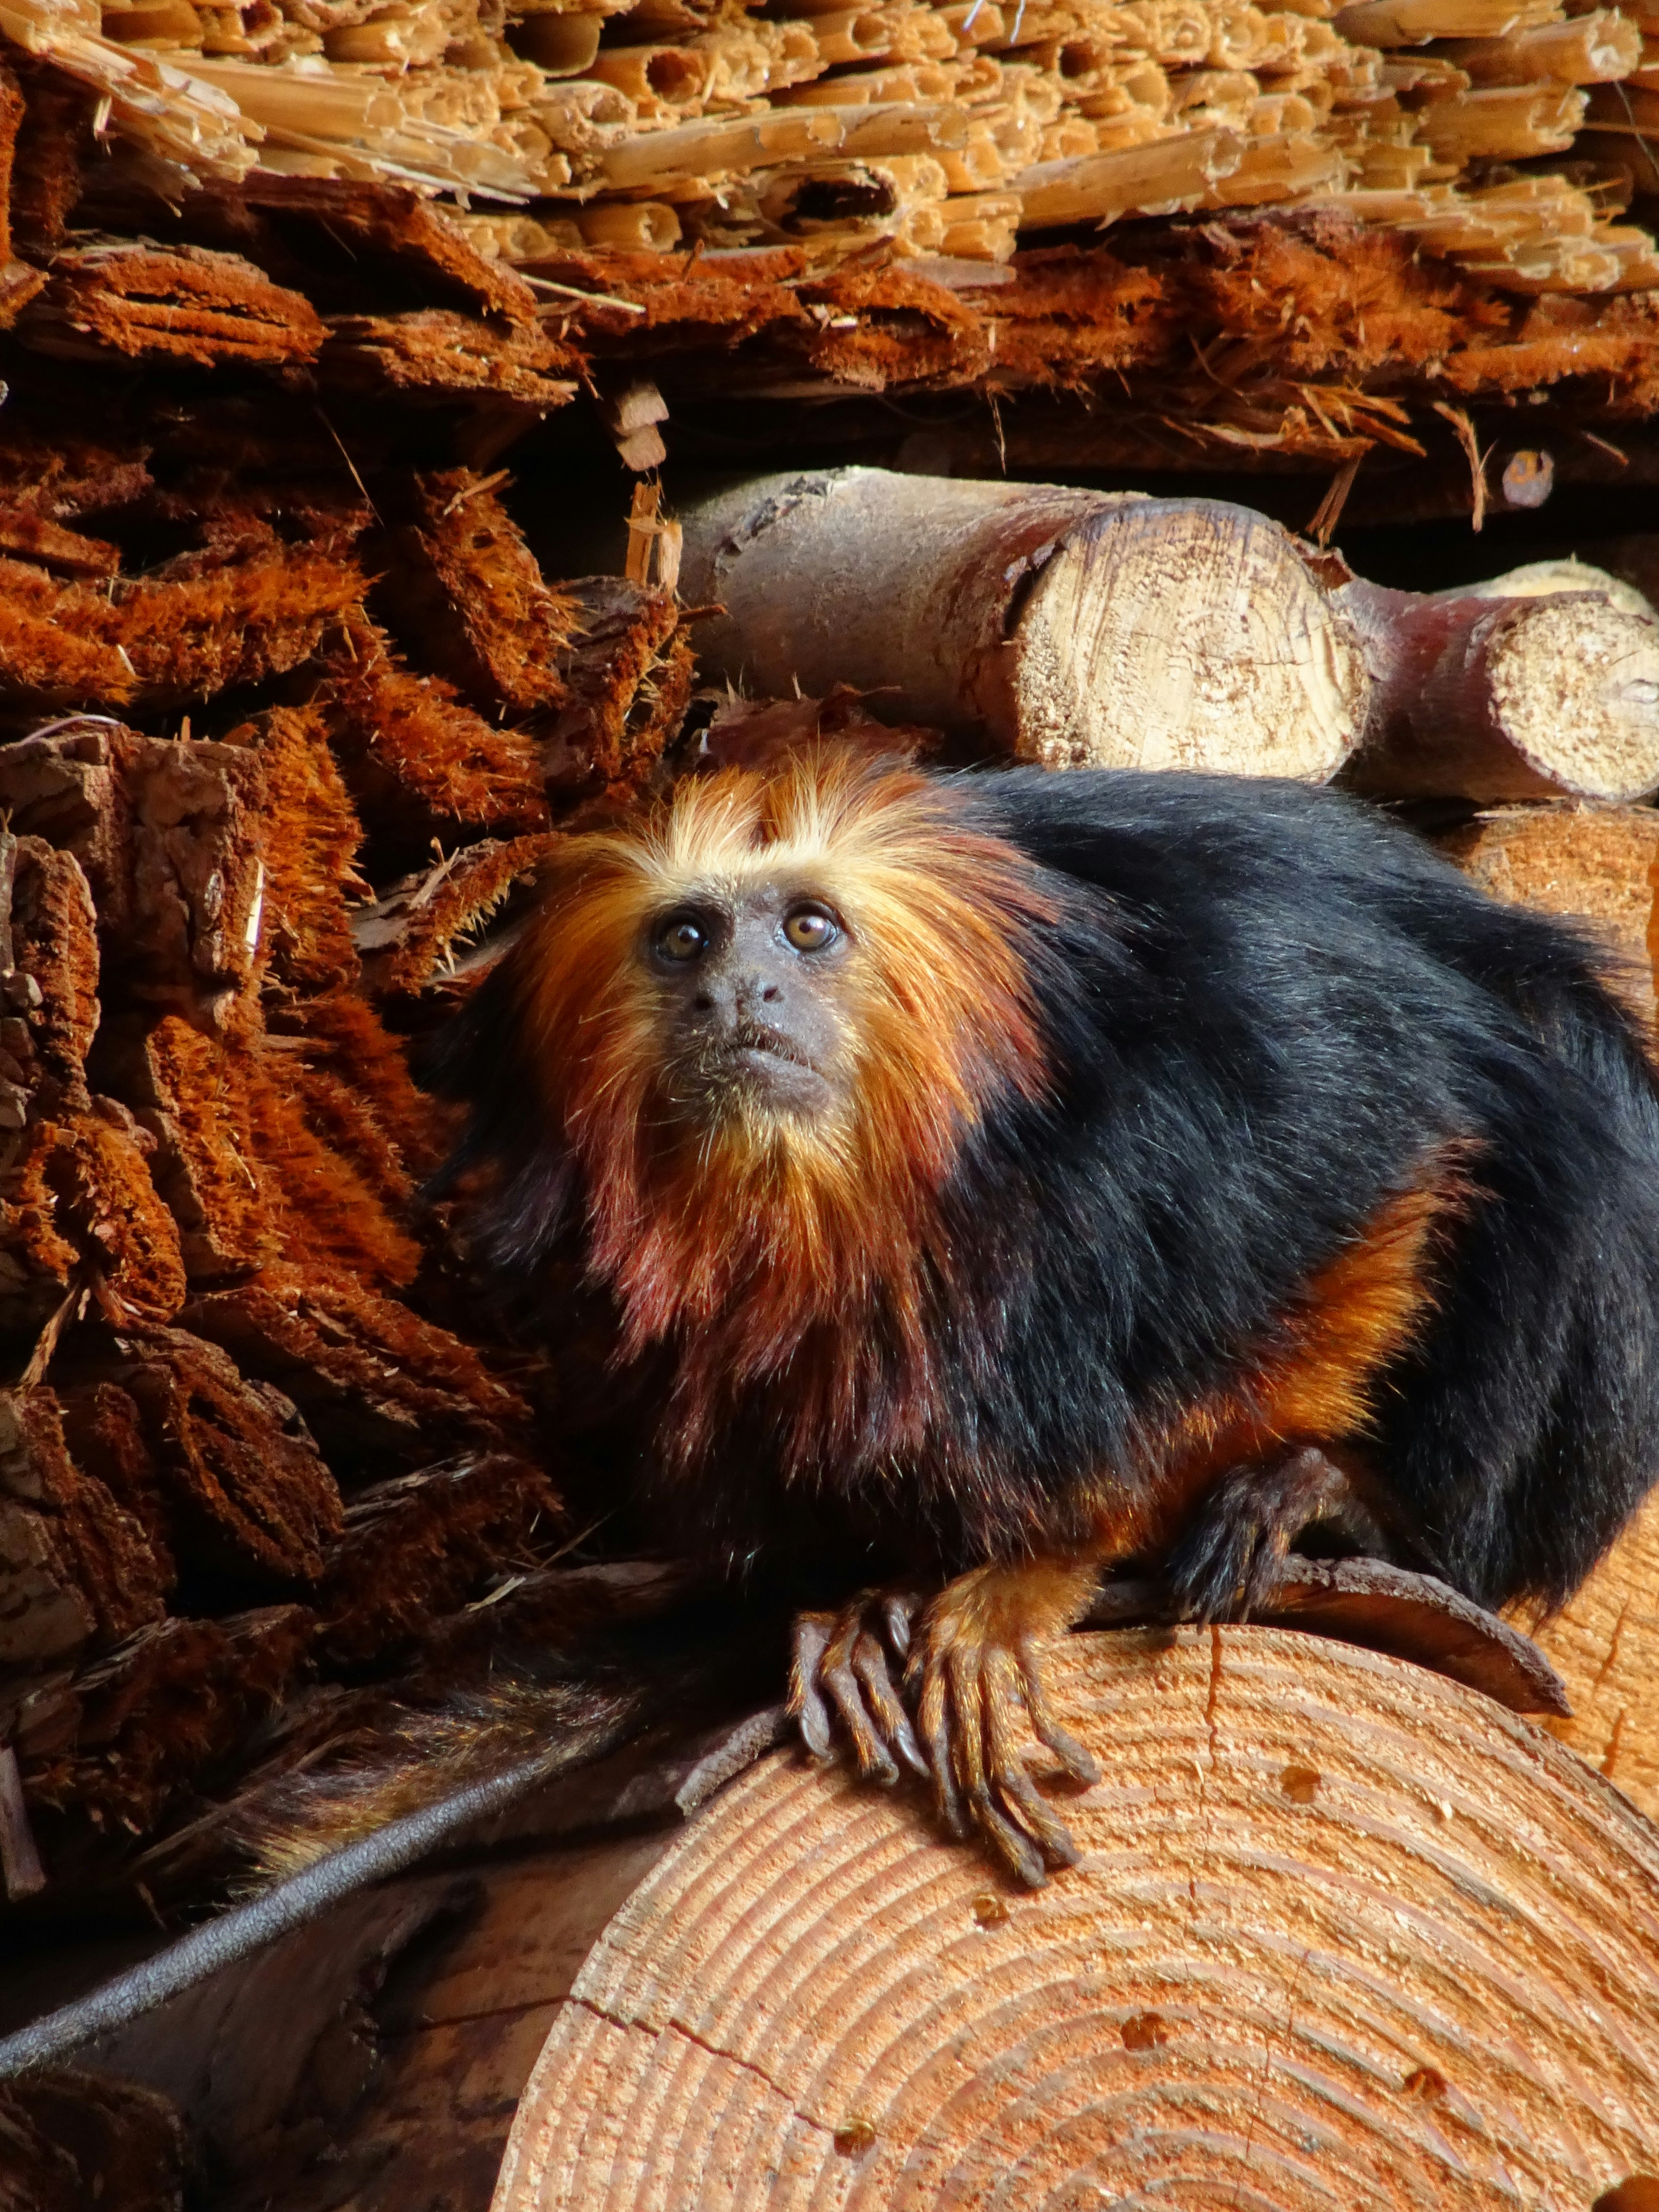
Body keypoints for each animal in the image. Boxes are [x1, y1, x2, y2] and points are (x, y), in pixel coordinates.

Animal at [416, 746, 1659, 1889]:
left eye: (807, 930)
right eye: (686, 941)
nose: (737, 997)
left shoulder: (1252, 1033)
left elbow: (1399, 1143)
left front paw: (1056, 1558)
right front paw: (866, 1597)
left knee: (1555, 1095)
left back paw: (1352, 1503)